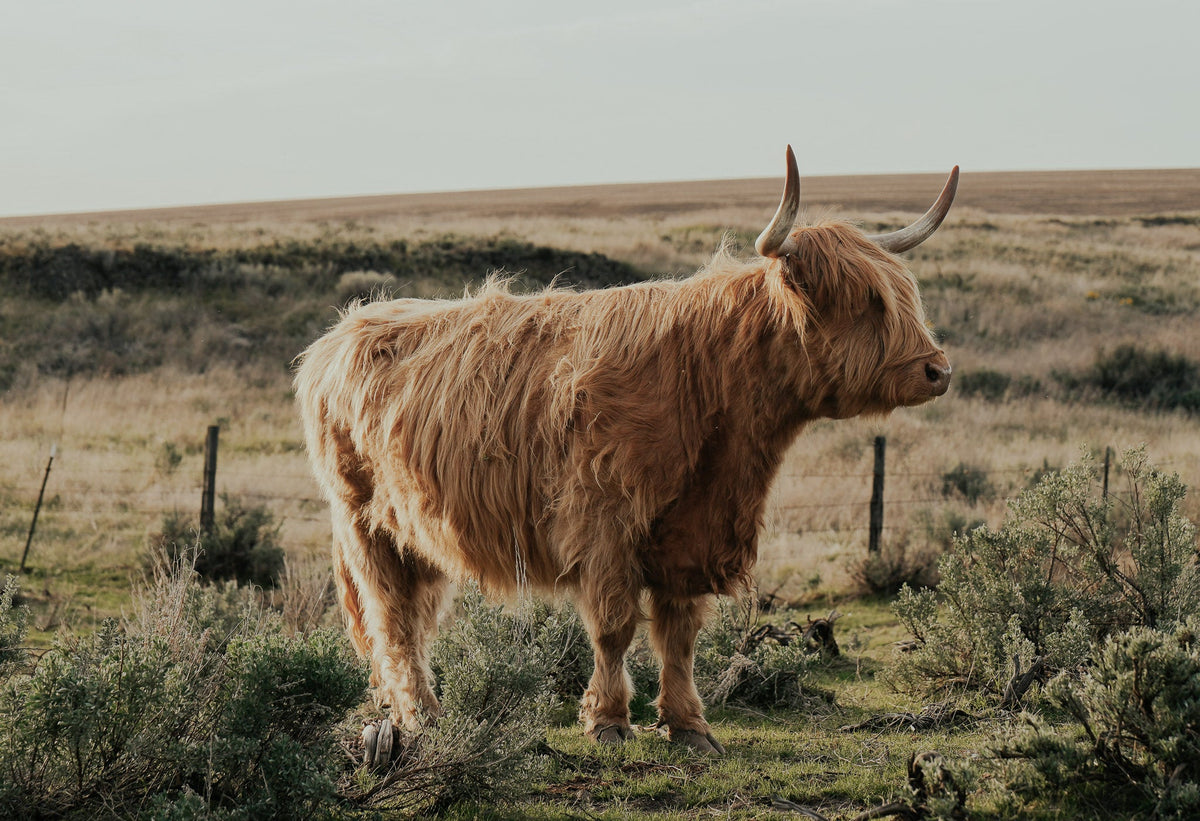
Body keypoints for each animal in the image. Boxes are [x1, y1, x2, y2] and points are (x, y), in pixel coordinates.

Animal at [294, 147, 957, 754]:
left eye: (903, 294)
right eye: (865, 300)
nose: (938, 370)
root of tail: (338, 334)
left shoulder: (690, 532)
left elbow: (678, 635)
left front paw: (689, 726)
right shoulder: (604, 524)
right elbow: (613, 627)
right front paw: (609, 721)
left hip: (416, 535)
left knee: (416, 618)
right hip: (364, 527)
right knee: (392, 621)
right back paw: (423, 719)